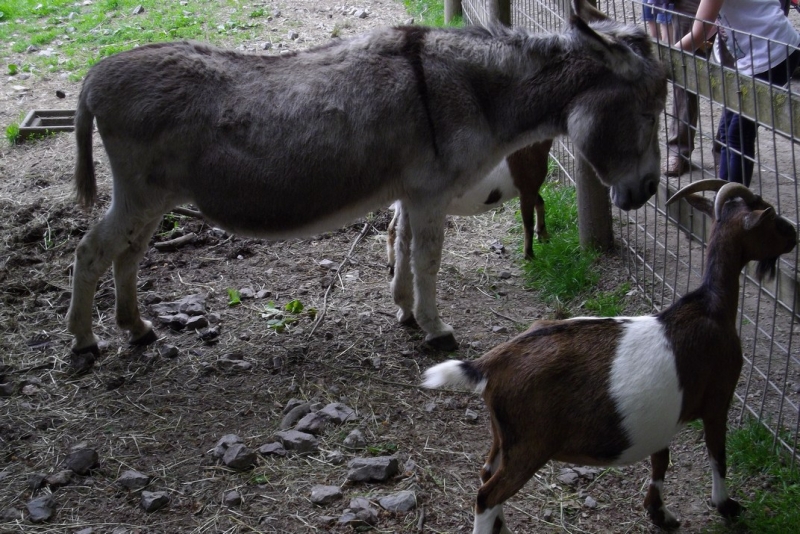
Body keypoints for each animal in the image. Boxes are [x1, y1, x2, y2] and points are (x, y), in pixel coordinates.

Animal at [422, 181, 796, 534]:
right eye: (770, 216)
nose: (793, 234)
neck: (710, 307)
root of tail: (493, 363)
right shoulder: (719, 398)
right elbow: (718, 454)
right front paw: (726, 505)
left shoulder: (662, 418)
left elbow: (661, 459)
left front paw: (660, 514)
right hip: (529, 446)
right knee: (487, 495)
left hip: (504, 437)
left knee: (486, 474)